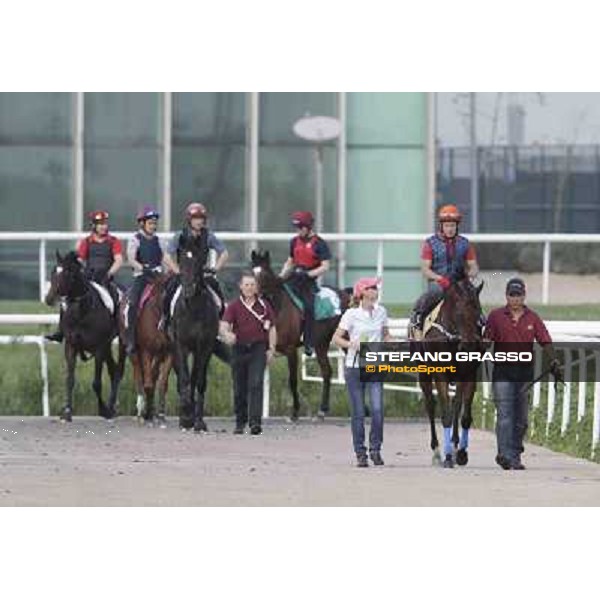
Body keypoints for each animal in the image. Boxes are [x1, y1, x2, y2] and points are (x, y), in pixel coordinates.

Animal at [45, 248, 125, 422]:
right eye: (53, 271)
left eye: (67, 273)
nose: (49, 298)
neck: (82, 312)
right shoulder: (71, 346)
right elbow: (69, 380)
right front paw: (67, 412)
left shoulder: (99, 348)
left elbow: (96, 383)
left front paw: (103, 410)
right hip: (107, 346)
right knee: (113, 369)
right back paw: (112, 406)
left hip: (118, 343)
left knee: (118, 370)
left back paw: (111, 408)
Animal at [117, 272, 173, 426]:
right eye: (164, 294)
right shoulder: (146, 352)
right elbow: (147, 382)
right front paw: (147, 413)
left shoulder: (168, 353)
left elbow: (162, 383)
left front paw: (160, 414)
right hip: (134, 353)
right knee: (138, 376)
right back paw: (141, 410)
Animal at [250, 248, 352, 422]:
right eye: (251, 273)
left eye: (264, 274)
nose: (253, 293)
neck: (278, 309)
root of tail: (345, 294)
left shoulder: (291, 350)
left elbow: (292, 380)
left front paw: (294, 413)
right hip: (321, 344)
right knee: (327, 372)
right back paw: (322, 411)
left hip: (344, 340)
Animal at [418, 276, 488, 468]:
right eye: (459, 314)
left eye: (478, 315)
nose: (470, 345)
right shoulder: (440, 374)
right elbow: (446, 414)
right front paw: (448, 456)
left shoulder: (468, 375)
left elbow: (463, 414)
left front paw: (461, 453)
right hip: (423, 374)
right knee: (430, 406)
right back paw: (437, 452)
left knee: (455, 404)